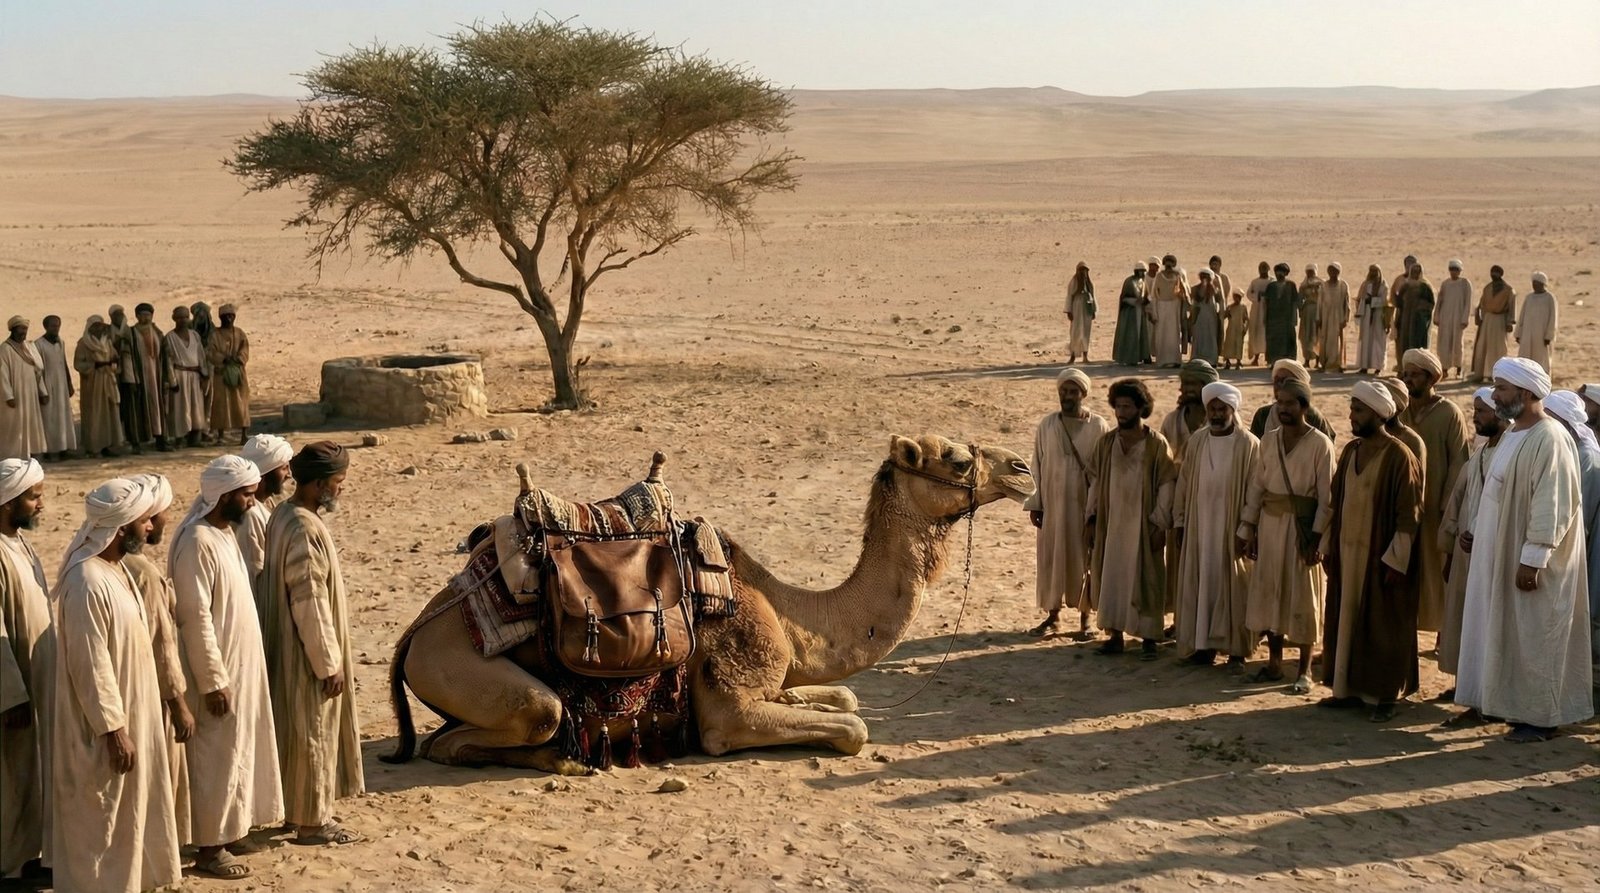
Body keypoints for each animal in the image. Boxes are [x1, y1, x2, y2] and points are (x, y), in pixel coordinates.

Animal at [382, 434, 1033, 773]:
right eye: (959, 458)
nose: (1024, 468)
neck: (791, 614)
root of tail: (412, 636)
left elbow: (844, 697)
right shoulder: (731, 708)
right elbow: (851, 727)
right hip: (464, 668)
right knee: (486, 732)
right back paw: (563, 757)